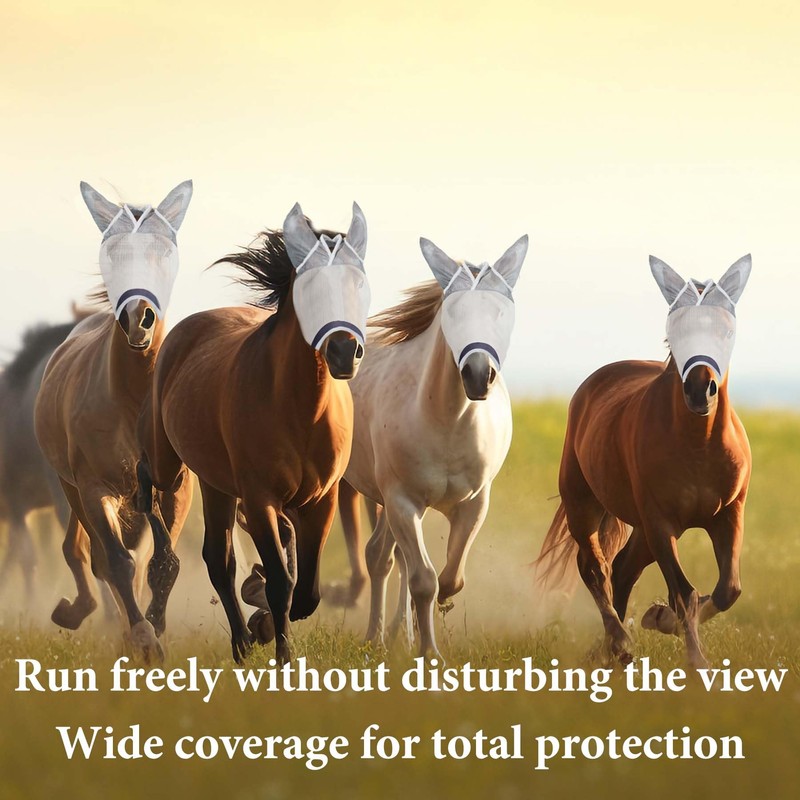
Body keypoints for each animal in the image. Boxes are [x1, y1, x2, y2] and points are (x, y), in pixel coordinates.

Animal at [34, 180, 194, 660]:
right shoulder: (93, 487)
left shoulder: (174, 489)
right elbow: (116, 562)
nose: (138, 319)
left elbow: (162, 563)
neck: (132, 398)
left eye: (166, 251)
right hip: (72, 488)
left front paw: (155, 631)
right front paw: (144, 639)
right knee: (94, 555)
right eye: (111, 252)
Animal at [137, 202, 371, 663]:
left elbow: (306, 590)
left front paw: (265, 620)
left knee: (221, 558)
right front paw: (280, 650)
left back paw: (243, 639)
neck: (300, 411)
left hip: (217, 484)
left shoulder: (322, 499)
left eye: (359, 280)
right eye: (310, 282)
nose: (344, 351)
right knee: (159, 494)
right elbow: (281, 583)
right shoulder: (260, 496)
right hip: (176, 468)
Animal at [340, 235, 528, 658]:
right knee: (380, 558)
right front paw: (429, 653)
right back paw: (375, 637)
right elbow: (424, 580)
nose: (478, 376)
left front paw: (423, 634)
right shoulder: (403, 501)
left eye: (502, 312)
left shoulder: (474, 503)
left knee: (386, 556)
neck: (448, 422)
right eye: (453, 313)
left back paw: (394, 634)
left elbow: (450, 578)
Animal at [535, 255, 752, 669]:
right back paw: (618, 641)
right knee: (594, 568)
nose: (699, 391)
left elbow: (728, 590)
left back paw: (611, 650)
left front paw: (661, 619)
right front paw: (696, 661)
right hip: (585, 505)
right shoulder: (660, 523)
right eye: (676, 330)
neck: (698, 446)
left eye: (728, 331)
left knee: (621, 570)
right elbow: (683, 592)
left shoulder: (728, 515)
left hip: (643, 531)